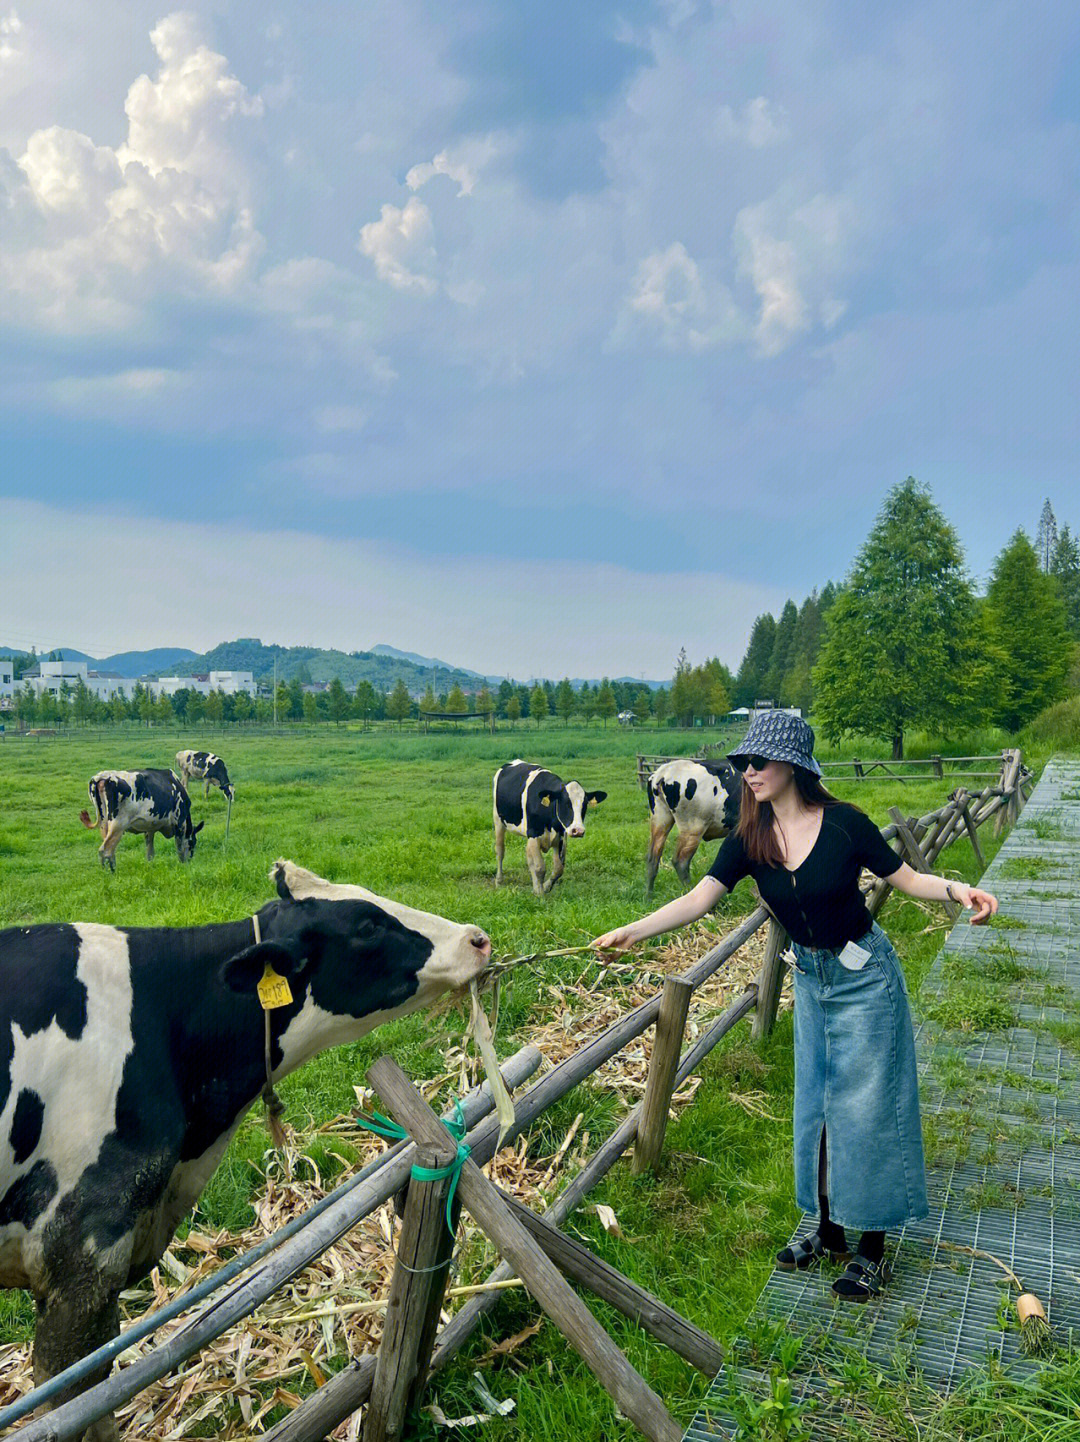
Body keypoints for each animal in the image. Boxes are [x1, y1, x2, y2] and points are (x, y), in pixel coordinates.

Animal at [490, 761, 605, 894]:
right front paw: (540, 894)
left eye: (585, 804)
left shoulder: (561, 837)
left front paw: (544, 887)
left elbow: (558, 868)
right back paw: (499, 881)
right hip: (498, 821)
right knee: (500, 851)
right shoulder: (534, 834)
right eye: (565, 803)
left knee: (528, 856)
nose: (578, 831)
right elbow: (540, 867)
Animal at [645, 755, 738, 888]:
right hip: (693, 828)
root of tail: (663, 772)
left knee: (653, 859)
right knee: (680, 861)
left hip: (660, 819)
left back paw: (649, 894)